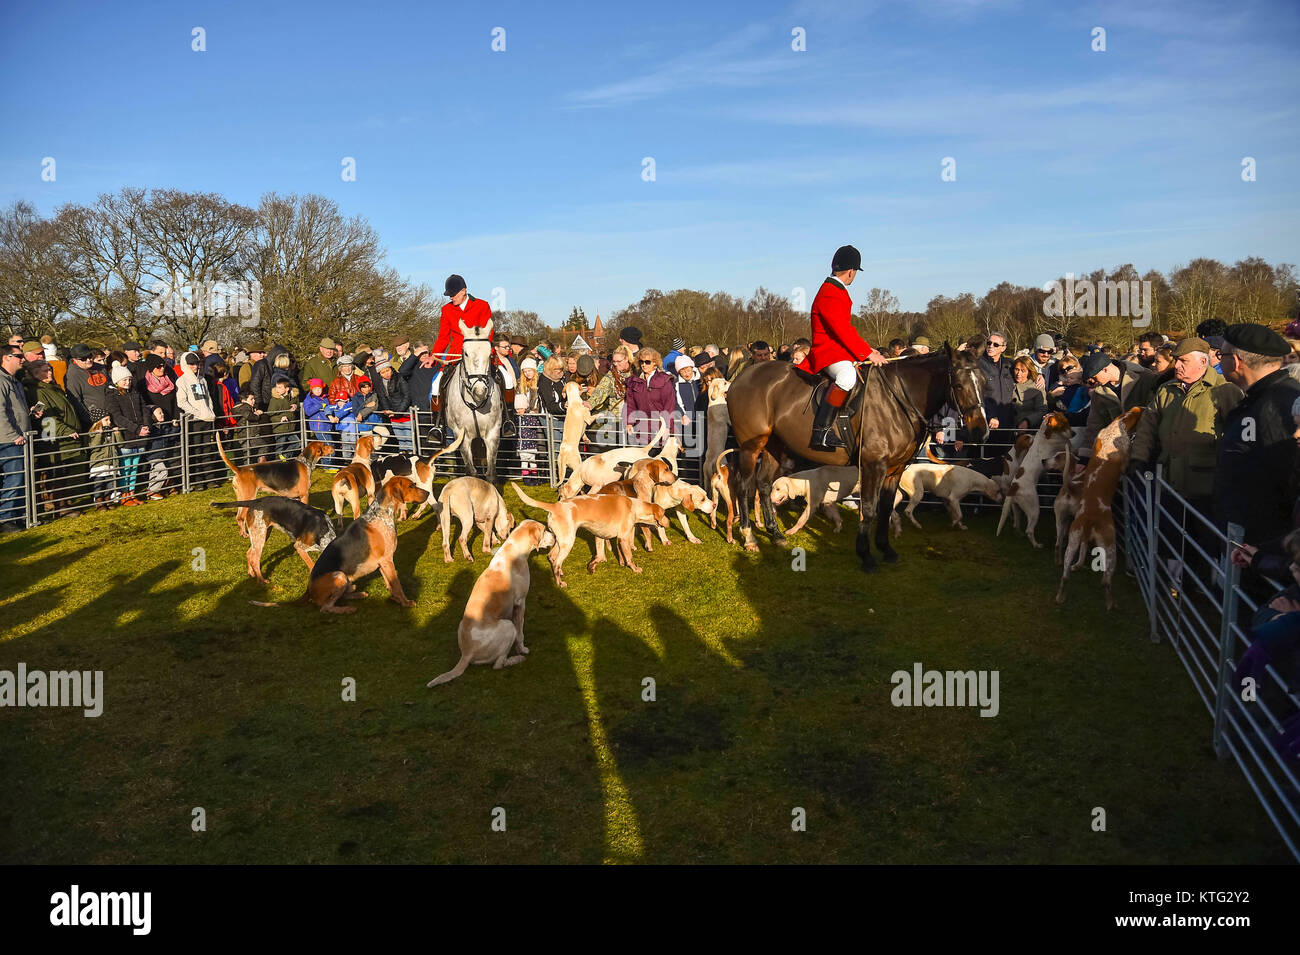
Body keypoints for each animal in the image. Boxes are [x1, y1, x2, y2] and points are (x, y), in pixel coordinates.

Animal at [728, 343, 987, 571]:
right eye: (958, 384)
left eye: (984, 382)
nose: (981, 431)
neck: (898, 399)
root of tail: (741, 378)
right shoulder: (874, 466)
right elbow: (870, 509)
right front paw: (866, 556)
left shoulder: (895, 469)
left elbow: (885, 508)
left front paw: (886, 550)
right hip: (751, 448)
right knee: (743, 486)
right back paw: (749, 537)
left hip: (773, 446)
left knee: (763, 484)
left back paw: (775, 534)